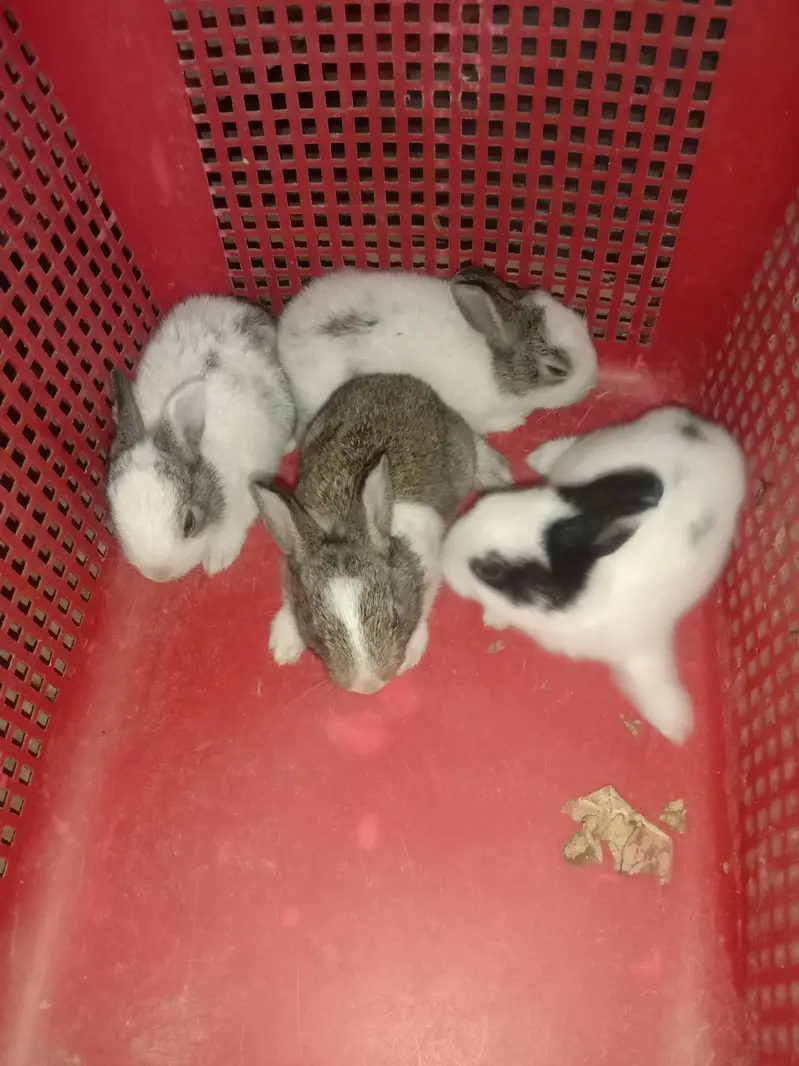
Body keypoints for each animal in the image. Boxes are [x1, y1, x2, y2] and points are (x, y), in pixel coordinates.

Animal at [251, 372, 511, 694]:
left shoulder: (429, 569)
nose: (368, 685)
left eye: (395, 618)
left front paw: (411, 653)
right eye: (316, 633)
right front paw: (284, 646)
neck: (343, 522)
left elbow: (424, 607)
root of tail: (392, 377)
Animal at [441, 406, 747, 744]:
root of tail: (708, 432)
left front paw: (677, 727)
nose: (443, 558)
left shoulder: (644, 646)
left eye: (491, 569)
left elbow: (652, 679)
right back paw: (539, 457)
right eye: (484, 502)